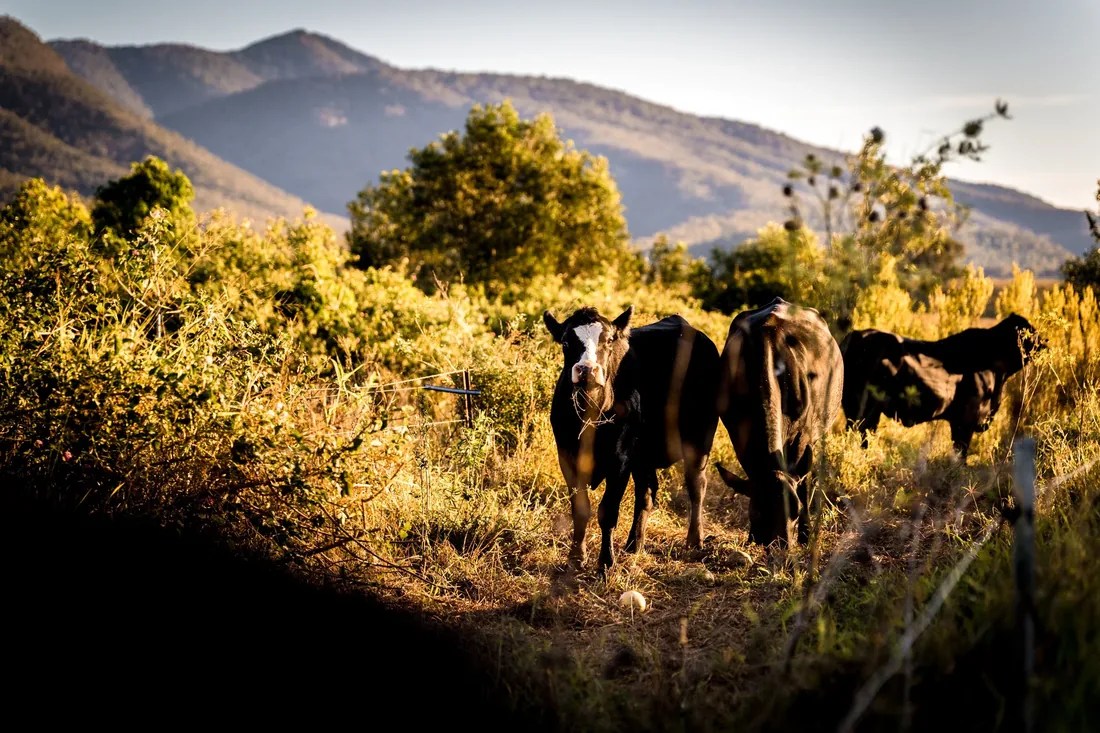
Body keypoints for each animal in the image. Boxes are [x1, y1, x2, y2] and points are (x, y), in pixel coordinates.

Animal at [543, 306, 720, 574]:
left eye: (608, 341)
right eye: (565, 342)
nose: (587, 369)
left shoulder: (620, 459)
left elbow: (607, 511)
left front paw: (606, 562)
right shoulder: (567, 456)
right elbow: (580, 508)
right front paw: (576, 557)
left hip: (700, 439)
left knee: (696, 486)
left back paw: (694, 540)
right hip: (644, 455)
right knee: (646, 494)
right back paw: (634, 544)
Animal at [713, 297, 844, 547]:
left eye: (796, 511)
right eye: (757, 511)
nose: (781, 545)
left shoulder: (802, 436)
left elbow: (801, 480)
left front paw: (804, 533)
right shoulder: (739, 433)